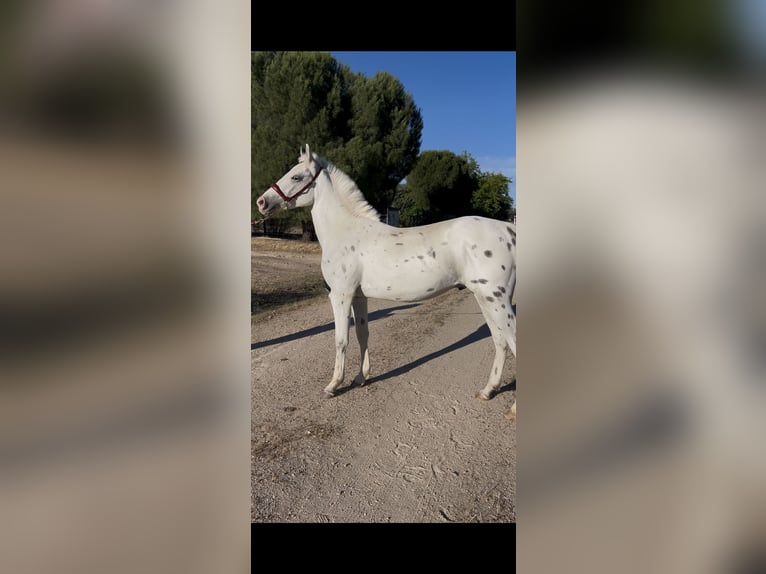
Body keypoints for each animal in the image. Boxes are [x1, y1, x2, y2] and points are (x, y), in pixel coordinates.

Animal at [256, 145, 516, 412]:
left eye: (296, 177)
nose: (261, 202)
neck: (345, 231)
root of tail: (508, 230)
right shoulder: (358, 297)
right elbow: (362, 334)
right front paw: (360, 378)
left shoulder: (340, 295)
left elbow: (341, 339)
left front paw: (333, 385)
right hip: (484, 299)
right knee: (500, 341)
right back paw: (488, 390)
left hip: (496, 299)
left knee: (512, 340)